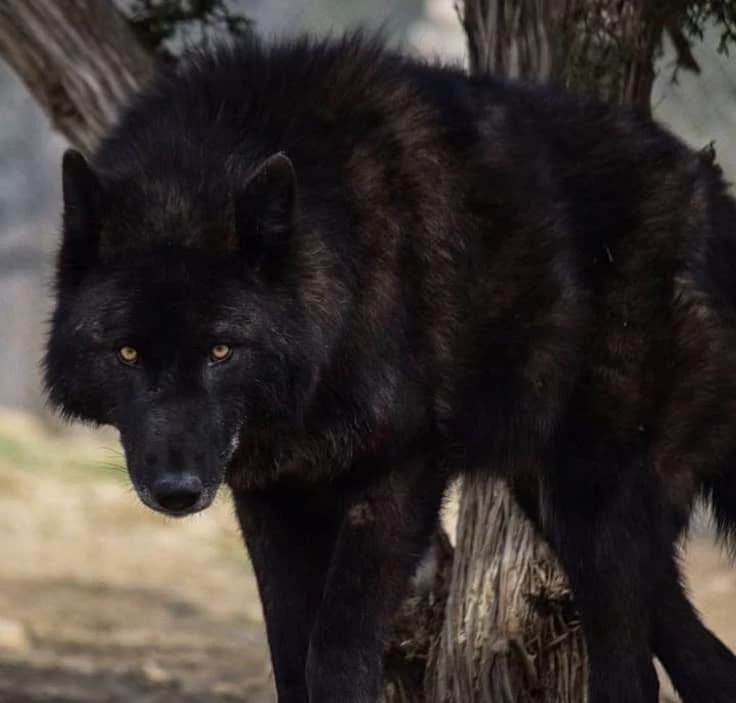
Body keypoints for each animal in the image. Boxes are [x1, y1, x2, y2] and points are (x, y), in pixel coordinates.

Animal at [44, 32, 736, 703]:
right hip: (557, 506)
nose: (178, 490)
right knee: (708, 664)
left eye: (221, 351)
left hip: (592, 506)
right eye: (127, 353)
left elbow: (336, 660)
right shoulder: (269, 494)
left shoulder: (397, 474)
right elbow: (290, 662)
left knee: (634, 673)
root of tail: (714, 194)